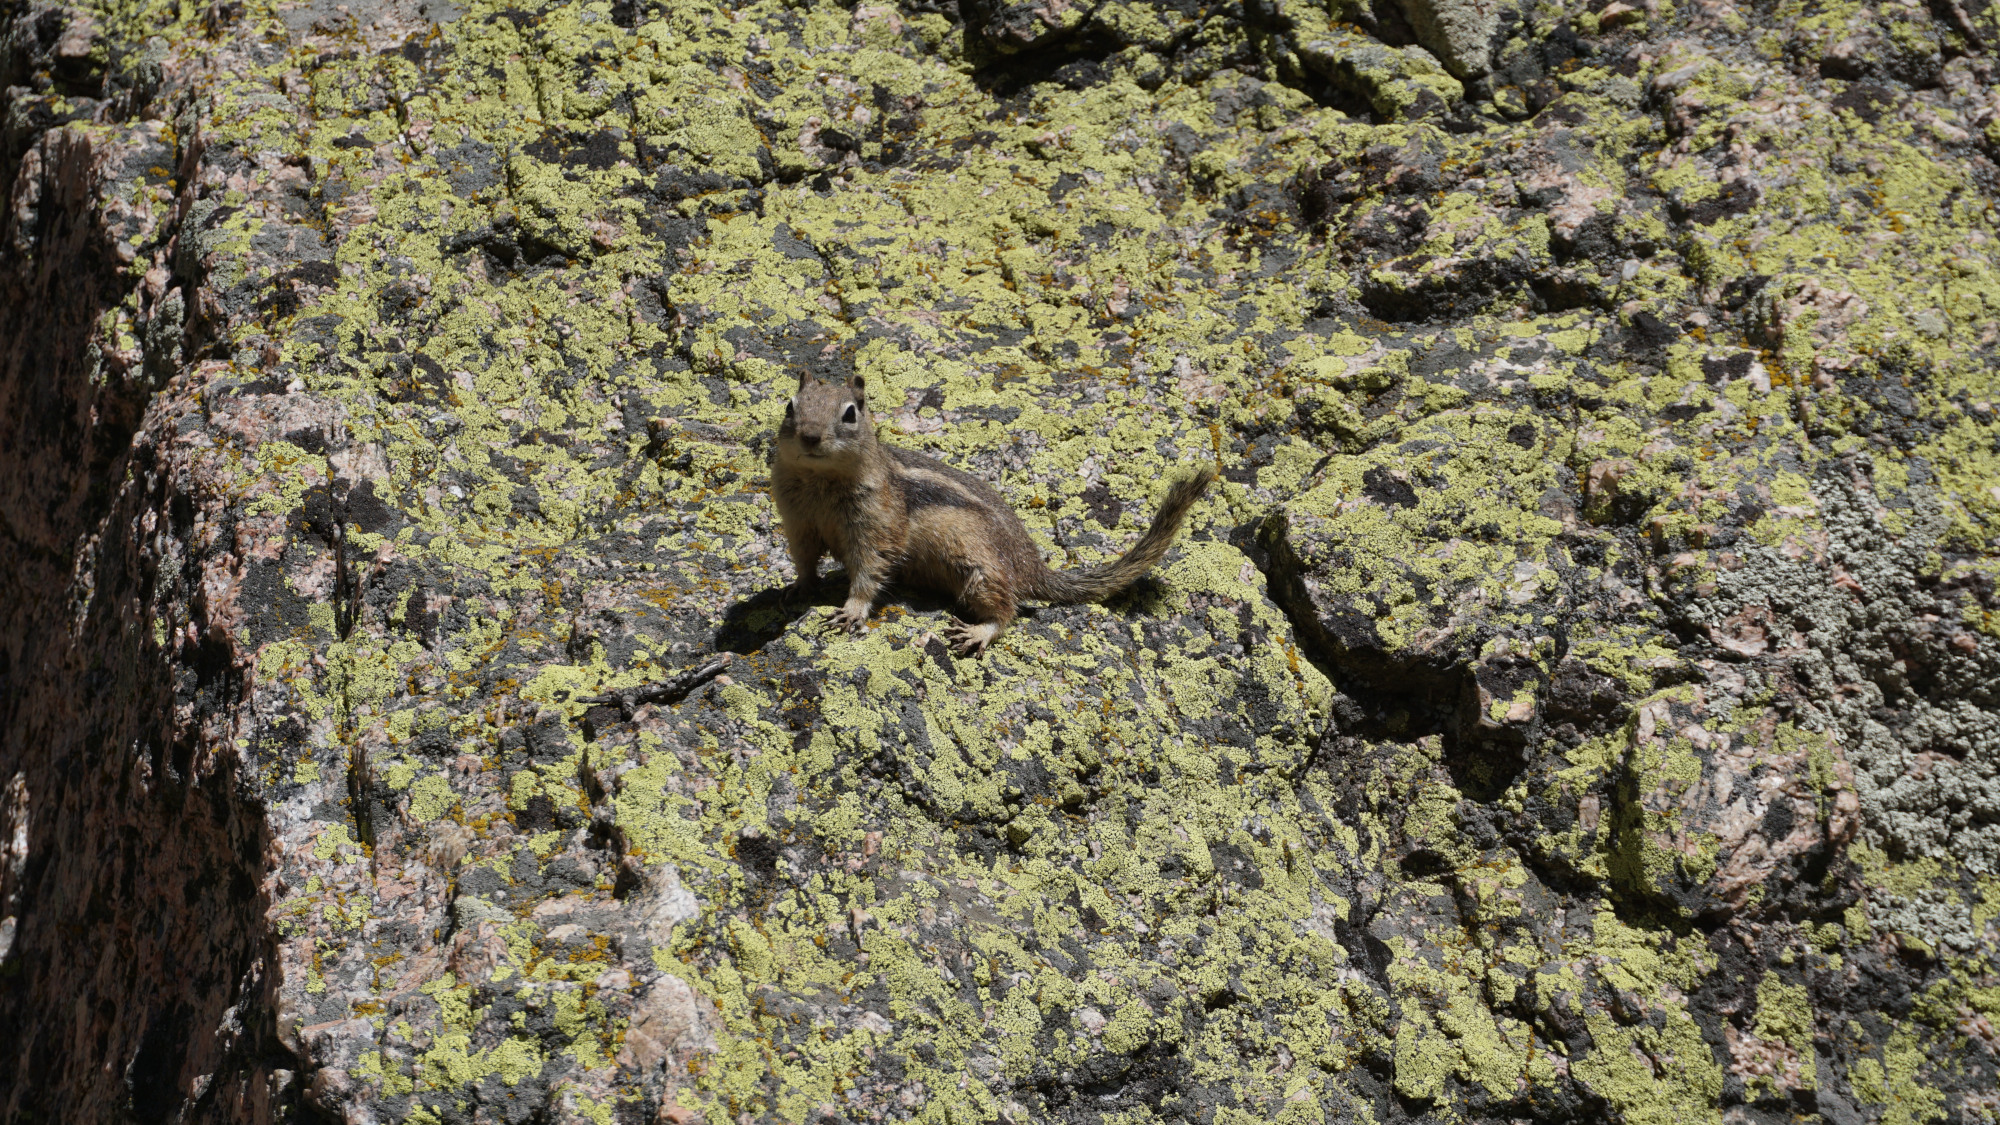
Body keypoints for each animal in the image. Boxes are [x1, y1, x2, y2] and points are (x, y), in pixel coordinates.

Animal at [770, 372, 1217, 655]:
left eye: (850, 413)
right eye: (789, 406)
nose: (810, 436)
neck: (820, 482)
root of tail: (1032, 566)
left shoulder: (875, 526)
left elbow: (869, 570)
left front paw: (850, 609)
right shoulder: (797, 522)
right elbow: (804, 560)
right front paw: (797, 588)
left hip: (980, 571)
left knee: (1008, 611)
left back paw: (978, 632)